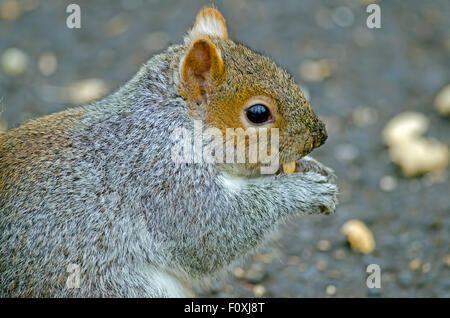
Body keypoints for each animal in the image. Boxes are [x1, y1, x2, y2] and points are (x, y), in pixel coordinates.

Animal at [0, 6, 338, 296]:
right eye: (258, 113)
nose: (319, 137)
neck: (174, 124)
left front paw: (313, 168)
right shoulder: (162, 179)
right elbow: (214, 232)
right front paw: (302, 190)